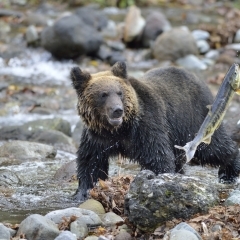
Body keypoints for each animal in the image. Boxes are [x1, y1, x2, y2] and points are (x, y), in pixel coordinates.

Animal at [70, 60, 240, 201]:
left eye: (119, 92)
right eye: (103, 94)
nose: (117, 110)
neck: (119, 130)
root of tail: (198, 79)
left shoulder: (146, 127)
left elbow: (158, 157)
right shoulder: (96, 137)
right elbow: (91, 162)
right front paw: (83, 192)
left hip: (193, 119)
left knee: (213, 148)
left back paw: (229, 172)